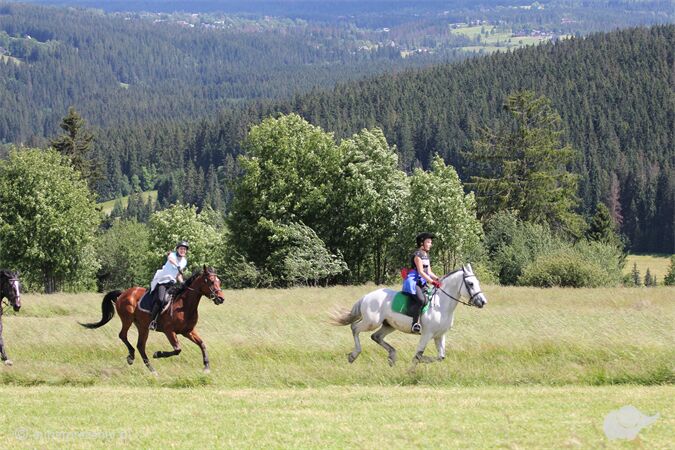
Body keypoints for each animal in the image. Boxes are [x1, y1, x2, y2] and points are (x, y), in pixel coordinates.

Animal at [80, 266, 226, 374]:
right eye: (211, 282)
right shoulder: (169, 331)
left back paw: (151, 370)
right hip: (127, 319)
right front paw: (157, 353)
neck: (184, 305)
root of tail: (123, 293)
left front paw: (206, 367)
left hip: (143, 326)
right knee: (123, 335)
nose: (221, 298)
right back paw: (132, 357)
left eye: (219, 281)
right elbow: (177, 349)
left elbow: (202, 344)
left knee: (140, 345)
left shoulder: (188, 331)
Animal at [332, 264, 486, 366]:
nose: (483, 302)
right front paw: (411, 370)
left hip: (388, 325)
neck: (440, 305)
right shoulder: (427, 334)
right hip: (372, 322)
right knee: (355, 328)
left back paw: (392, 356)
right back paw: (354, 355)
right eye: (470, 284)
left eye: (477, 282)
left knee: (376, 336)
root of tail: (366, 296)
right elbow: (418, 355)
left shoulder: (440, 335)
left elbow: (440, 357)